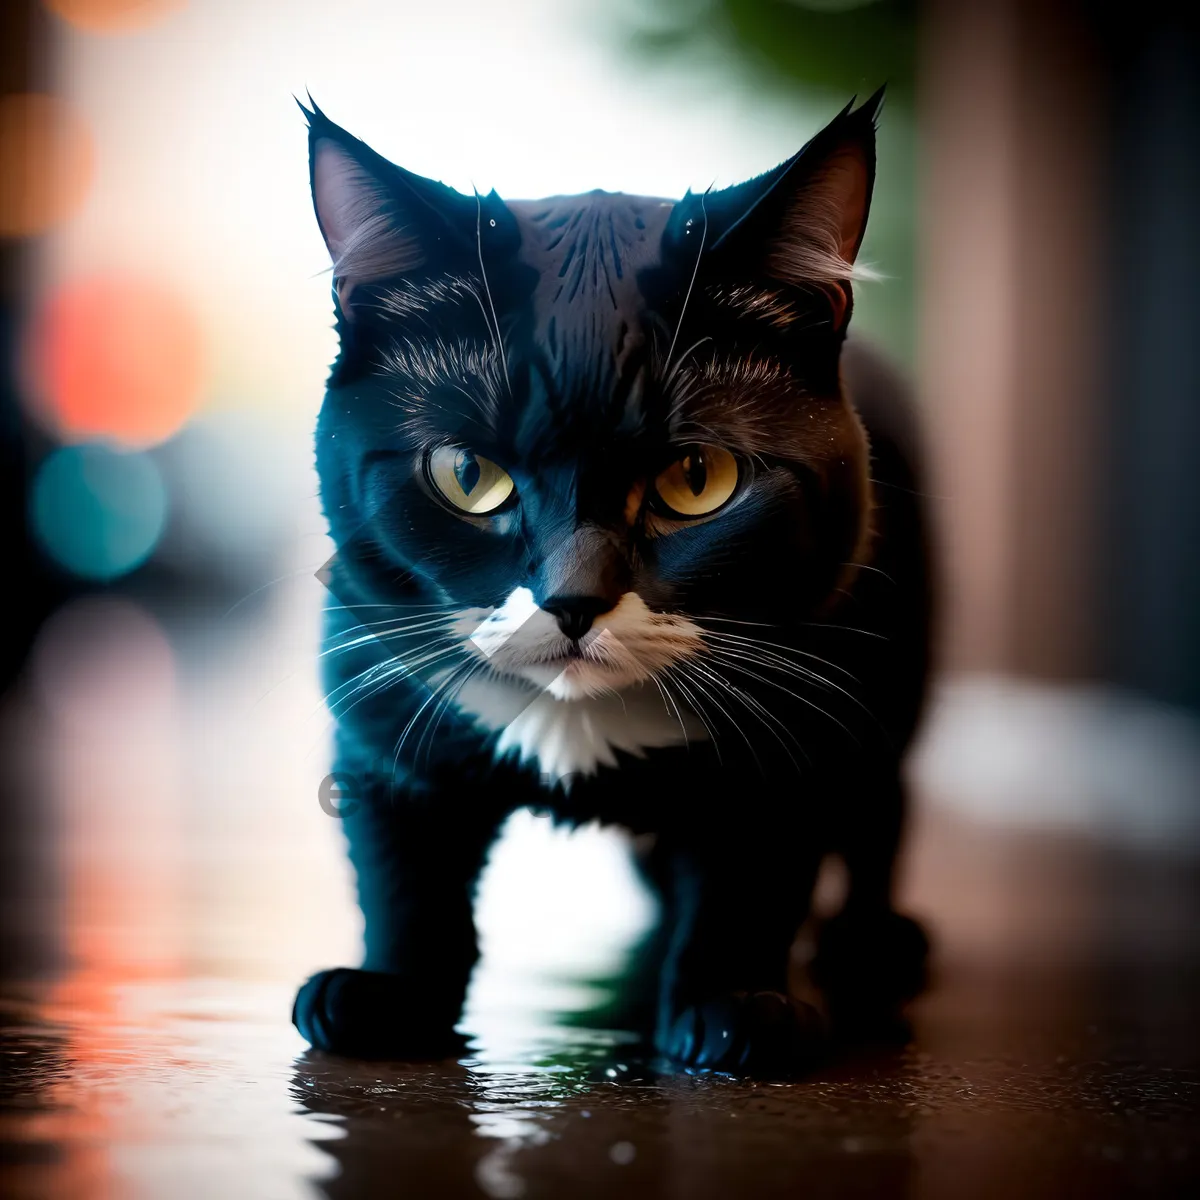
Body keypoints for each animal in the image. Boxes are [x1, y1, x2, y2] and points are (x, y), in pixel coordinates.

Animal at [292, 88, 936, 1075]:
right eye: (467, 474)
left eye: (697, 478)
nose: (573, 599)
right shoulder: (380, 690)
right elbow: (405, 865)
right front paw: (387, 992)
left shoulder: (805, 709)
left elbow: (756, 864)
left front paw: (733, 1002)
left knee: (880, 805)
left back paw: (873, 936)